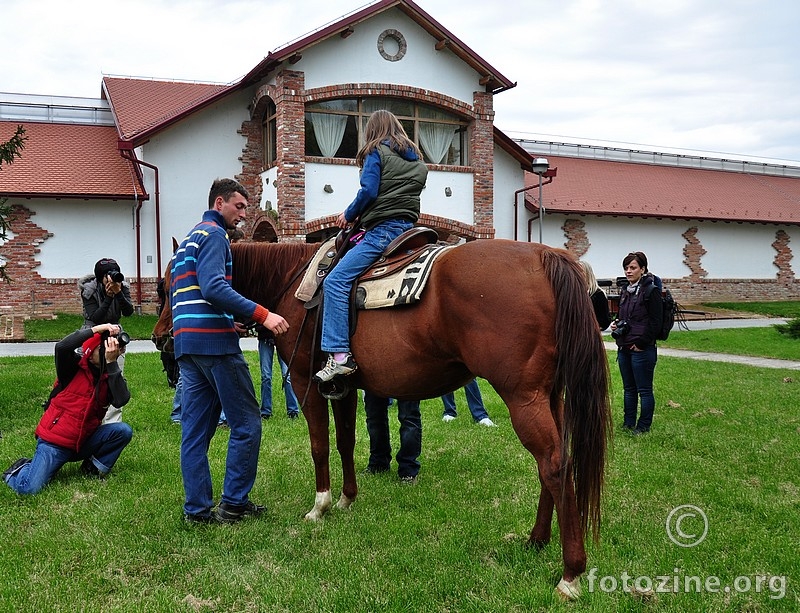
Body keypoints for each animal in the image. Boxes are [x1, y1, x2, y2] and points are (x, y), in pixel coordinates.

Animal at [152, 239, 612, 596]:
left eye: (174, 284)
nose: (160, 338)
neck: (293, 283)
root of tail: (545, 254)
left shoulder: (304, 381)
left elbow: (319, 445)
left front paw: (319, 507)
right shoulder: (342, 386)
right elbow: (345, 441)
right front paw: (347, 498)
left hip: (523, 397)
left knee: (554, 465)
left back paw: (570, 572)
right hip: (549, 396)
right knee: (552, 465)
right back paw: (536, 540)